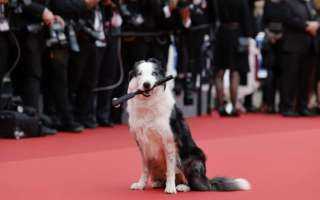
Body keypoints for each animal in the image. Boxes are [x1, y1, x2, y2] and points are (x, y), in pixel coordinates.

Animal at [126, 58, 251, 194]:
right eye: (139, 74)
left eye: (154, 73)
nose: (146, 84)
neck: (148, 104)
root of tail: (206, 179)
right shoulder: (143, 143)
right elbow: (145, 169)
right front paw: (140, 184)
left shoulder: (169, 140)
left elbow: (170, 169)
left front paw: (170, 188)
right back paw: (158, 182)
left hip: (192, 158)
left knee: (194, 183)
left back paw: (182, 186)